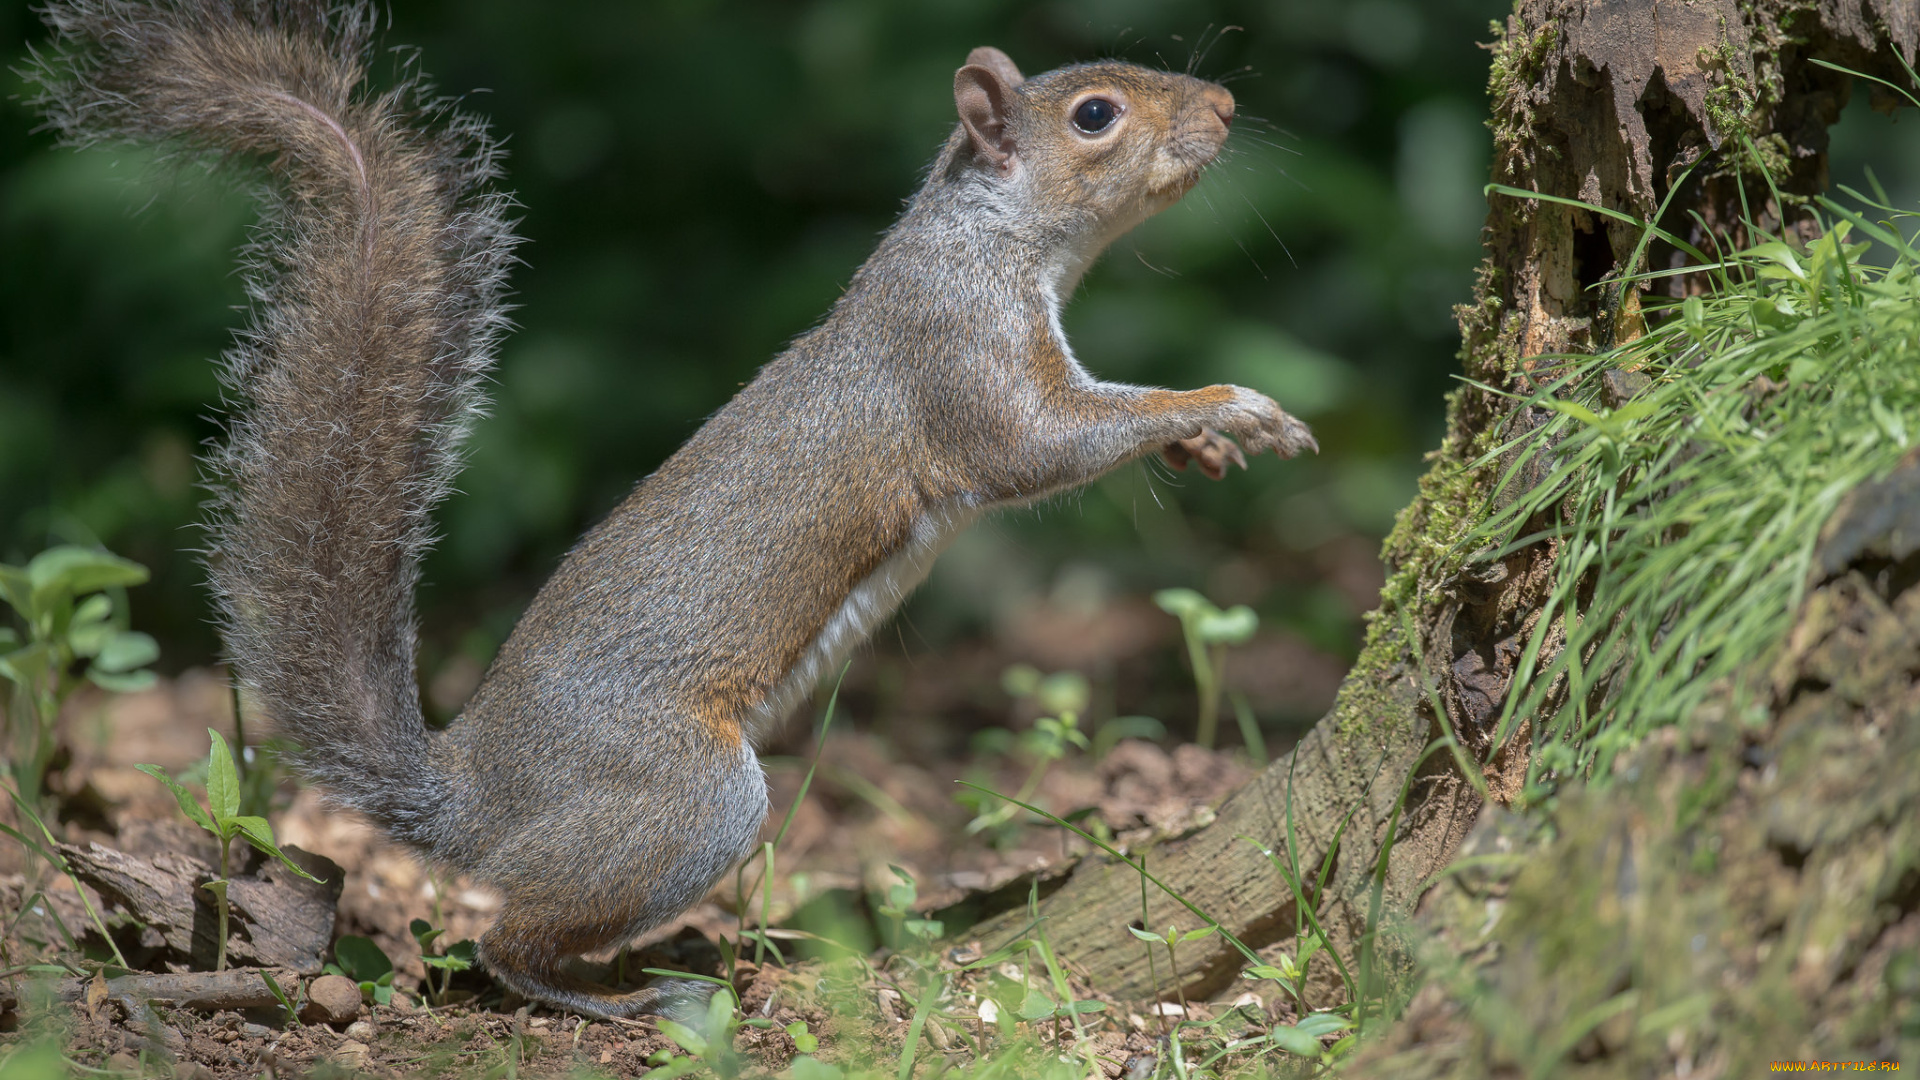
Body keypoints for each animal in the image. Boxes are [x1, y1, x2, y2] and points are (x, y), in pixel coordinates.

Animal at [30, 0, 1320, 1014]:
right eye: (1095, 115)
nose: (1222, 101)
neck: (993, 241)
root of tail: (471, 800)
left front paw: (1203, 444)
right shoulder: (959, 362)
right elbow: (1040, 446)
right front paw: (1226, 404)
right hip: (685, 798)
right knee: (504, 936)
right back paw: (615, 996)